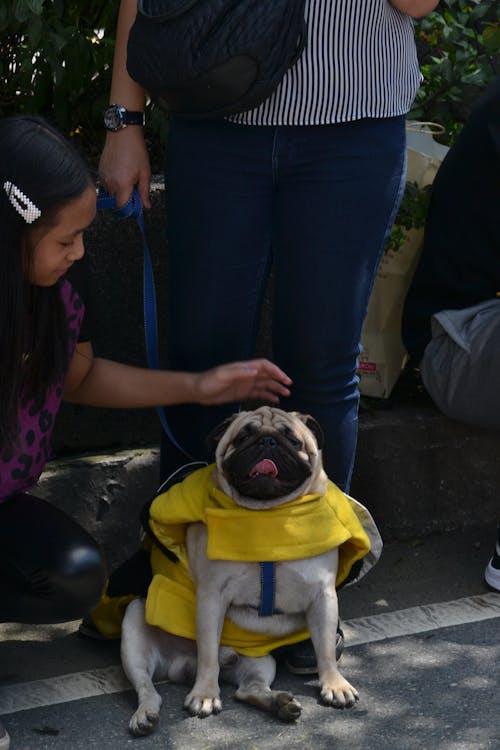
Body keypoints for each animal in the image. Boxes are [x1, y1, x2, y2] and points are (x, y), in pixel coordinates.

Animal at [121, 408, 378, 736]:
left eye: (293, 440)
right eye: (242, 437)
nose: (267, 441)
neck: (269, 514)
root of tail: (182, 665)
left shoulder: (323, 596)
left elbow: (324, 648)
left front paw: (334, 684)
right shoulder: (212, 597)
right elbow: (208, 652)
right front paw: (205, 694)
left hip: (259, 661)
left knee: (247, 689)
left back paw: (281, 703)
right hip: (134, 630)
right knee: (148, 687)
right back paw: (146, 715)